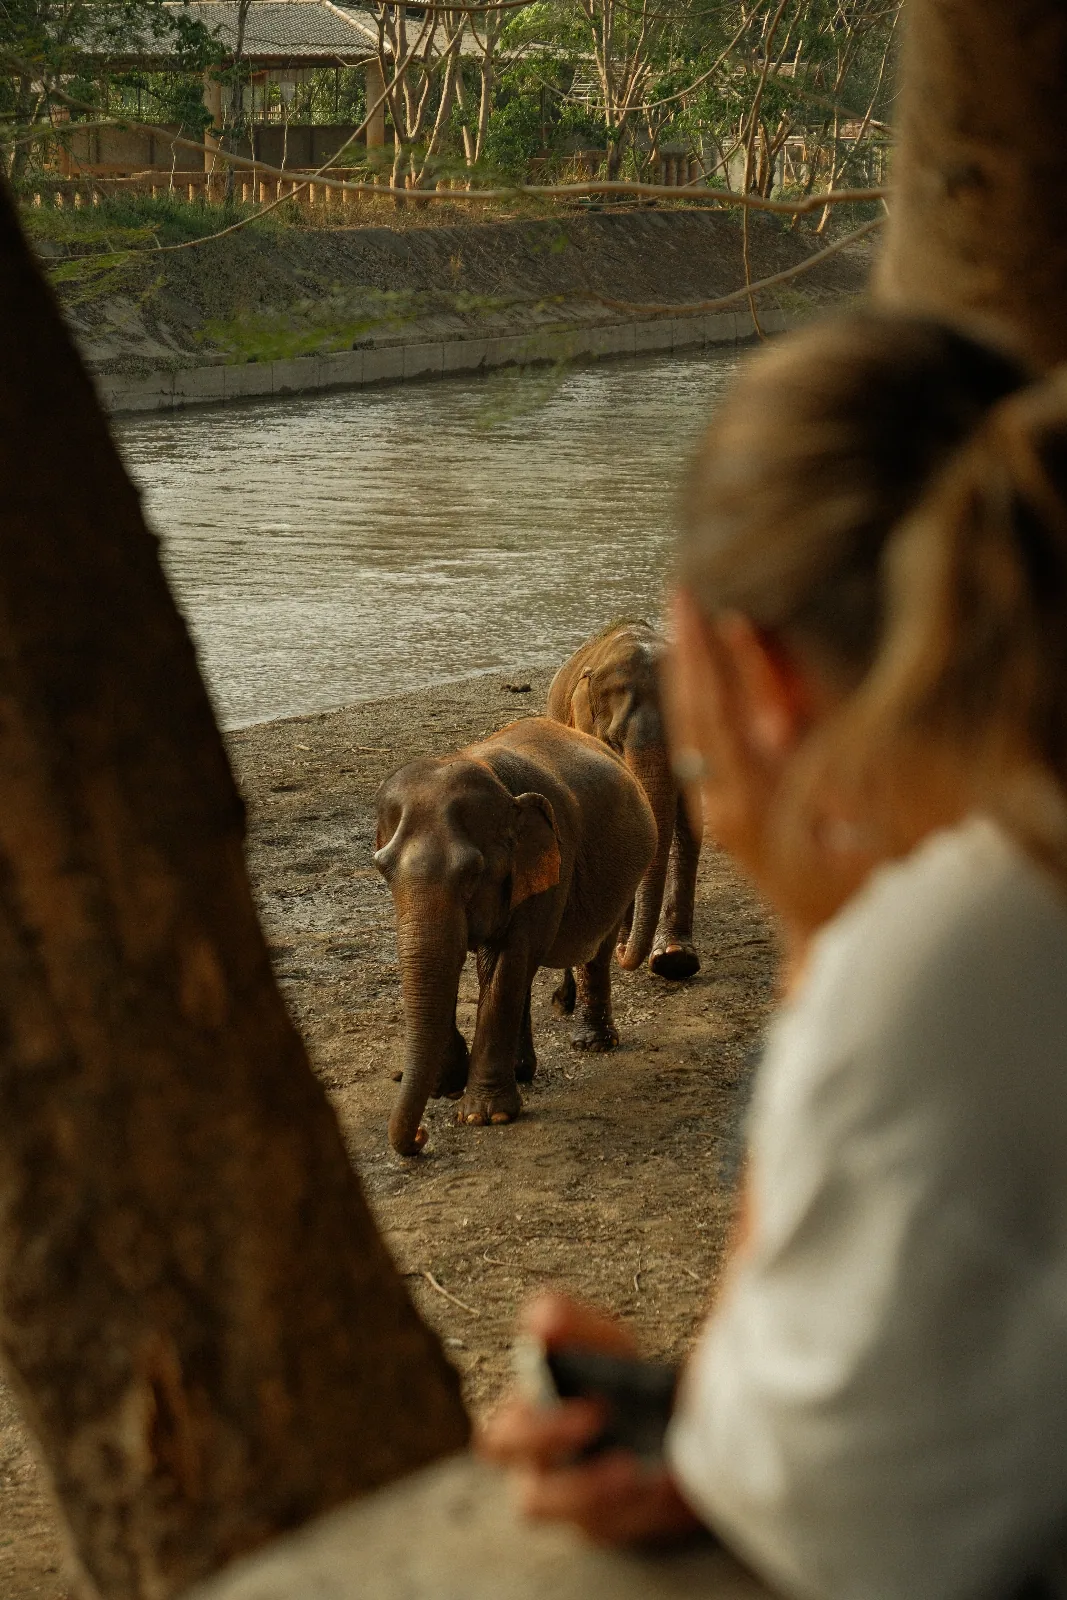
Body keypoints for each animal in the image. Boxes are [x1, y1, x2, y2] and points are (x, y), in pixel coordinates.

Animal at [374, 716, 657, 1156]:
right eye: (382, 869)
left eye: (472, 872)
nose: (419, 1137)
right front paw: (446, 1085)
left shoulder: (549, 864)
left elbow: (506, 961)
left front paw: (485, 1116)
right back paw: (523, 1070)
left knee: (595, 950)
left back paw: (592, 1044)